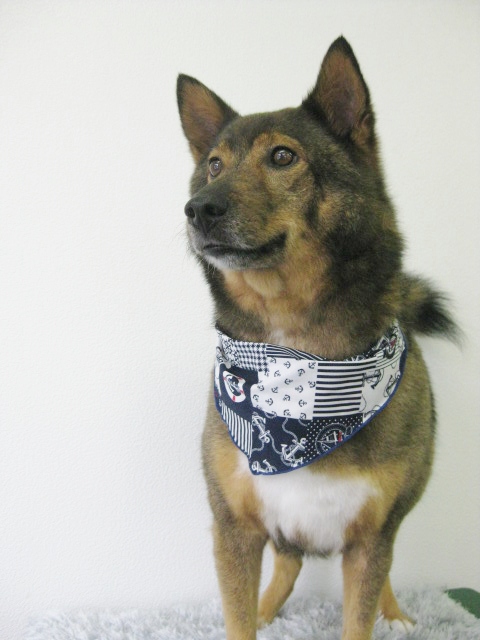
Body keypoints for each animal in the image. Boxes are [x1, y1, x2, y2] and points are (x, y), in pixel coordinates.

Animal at [177, 36, 456, 640]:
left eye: (283, 157)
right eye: (213, 165)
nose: (198, 208)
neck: (295, 355)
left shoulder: (370, 535)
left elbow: (361, 610)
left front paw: (382, 613)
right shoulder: (234, 527)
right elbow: (238, 618)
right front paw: (253, 615)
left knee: (382, 568)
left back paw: (397, 613)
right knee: (287, 562)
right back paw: (268, 607)